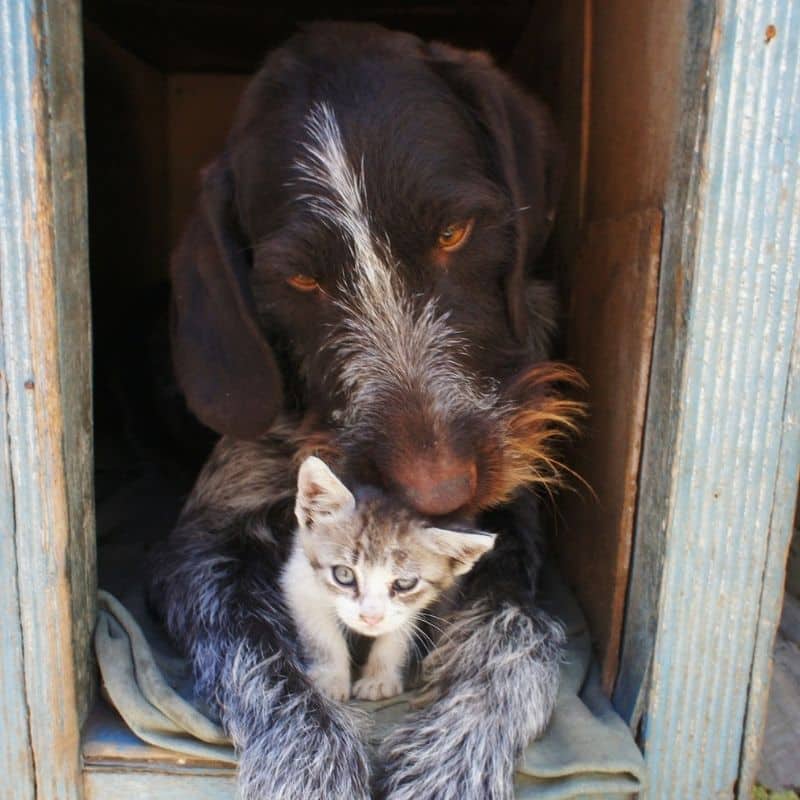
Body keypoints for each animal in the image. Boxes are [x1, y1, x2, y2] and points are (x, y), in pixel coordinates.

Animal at [280, 456, 494, 700]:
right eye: (344, 574)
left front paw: (379, 679)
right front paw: (330, 680)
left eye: (404, 583)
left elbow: (397, 635)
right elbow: (322, 636)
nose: (370, 618)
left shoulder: (412, 606)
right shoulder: (299, 579)